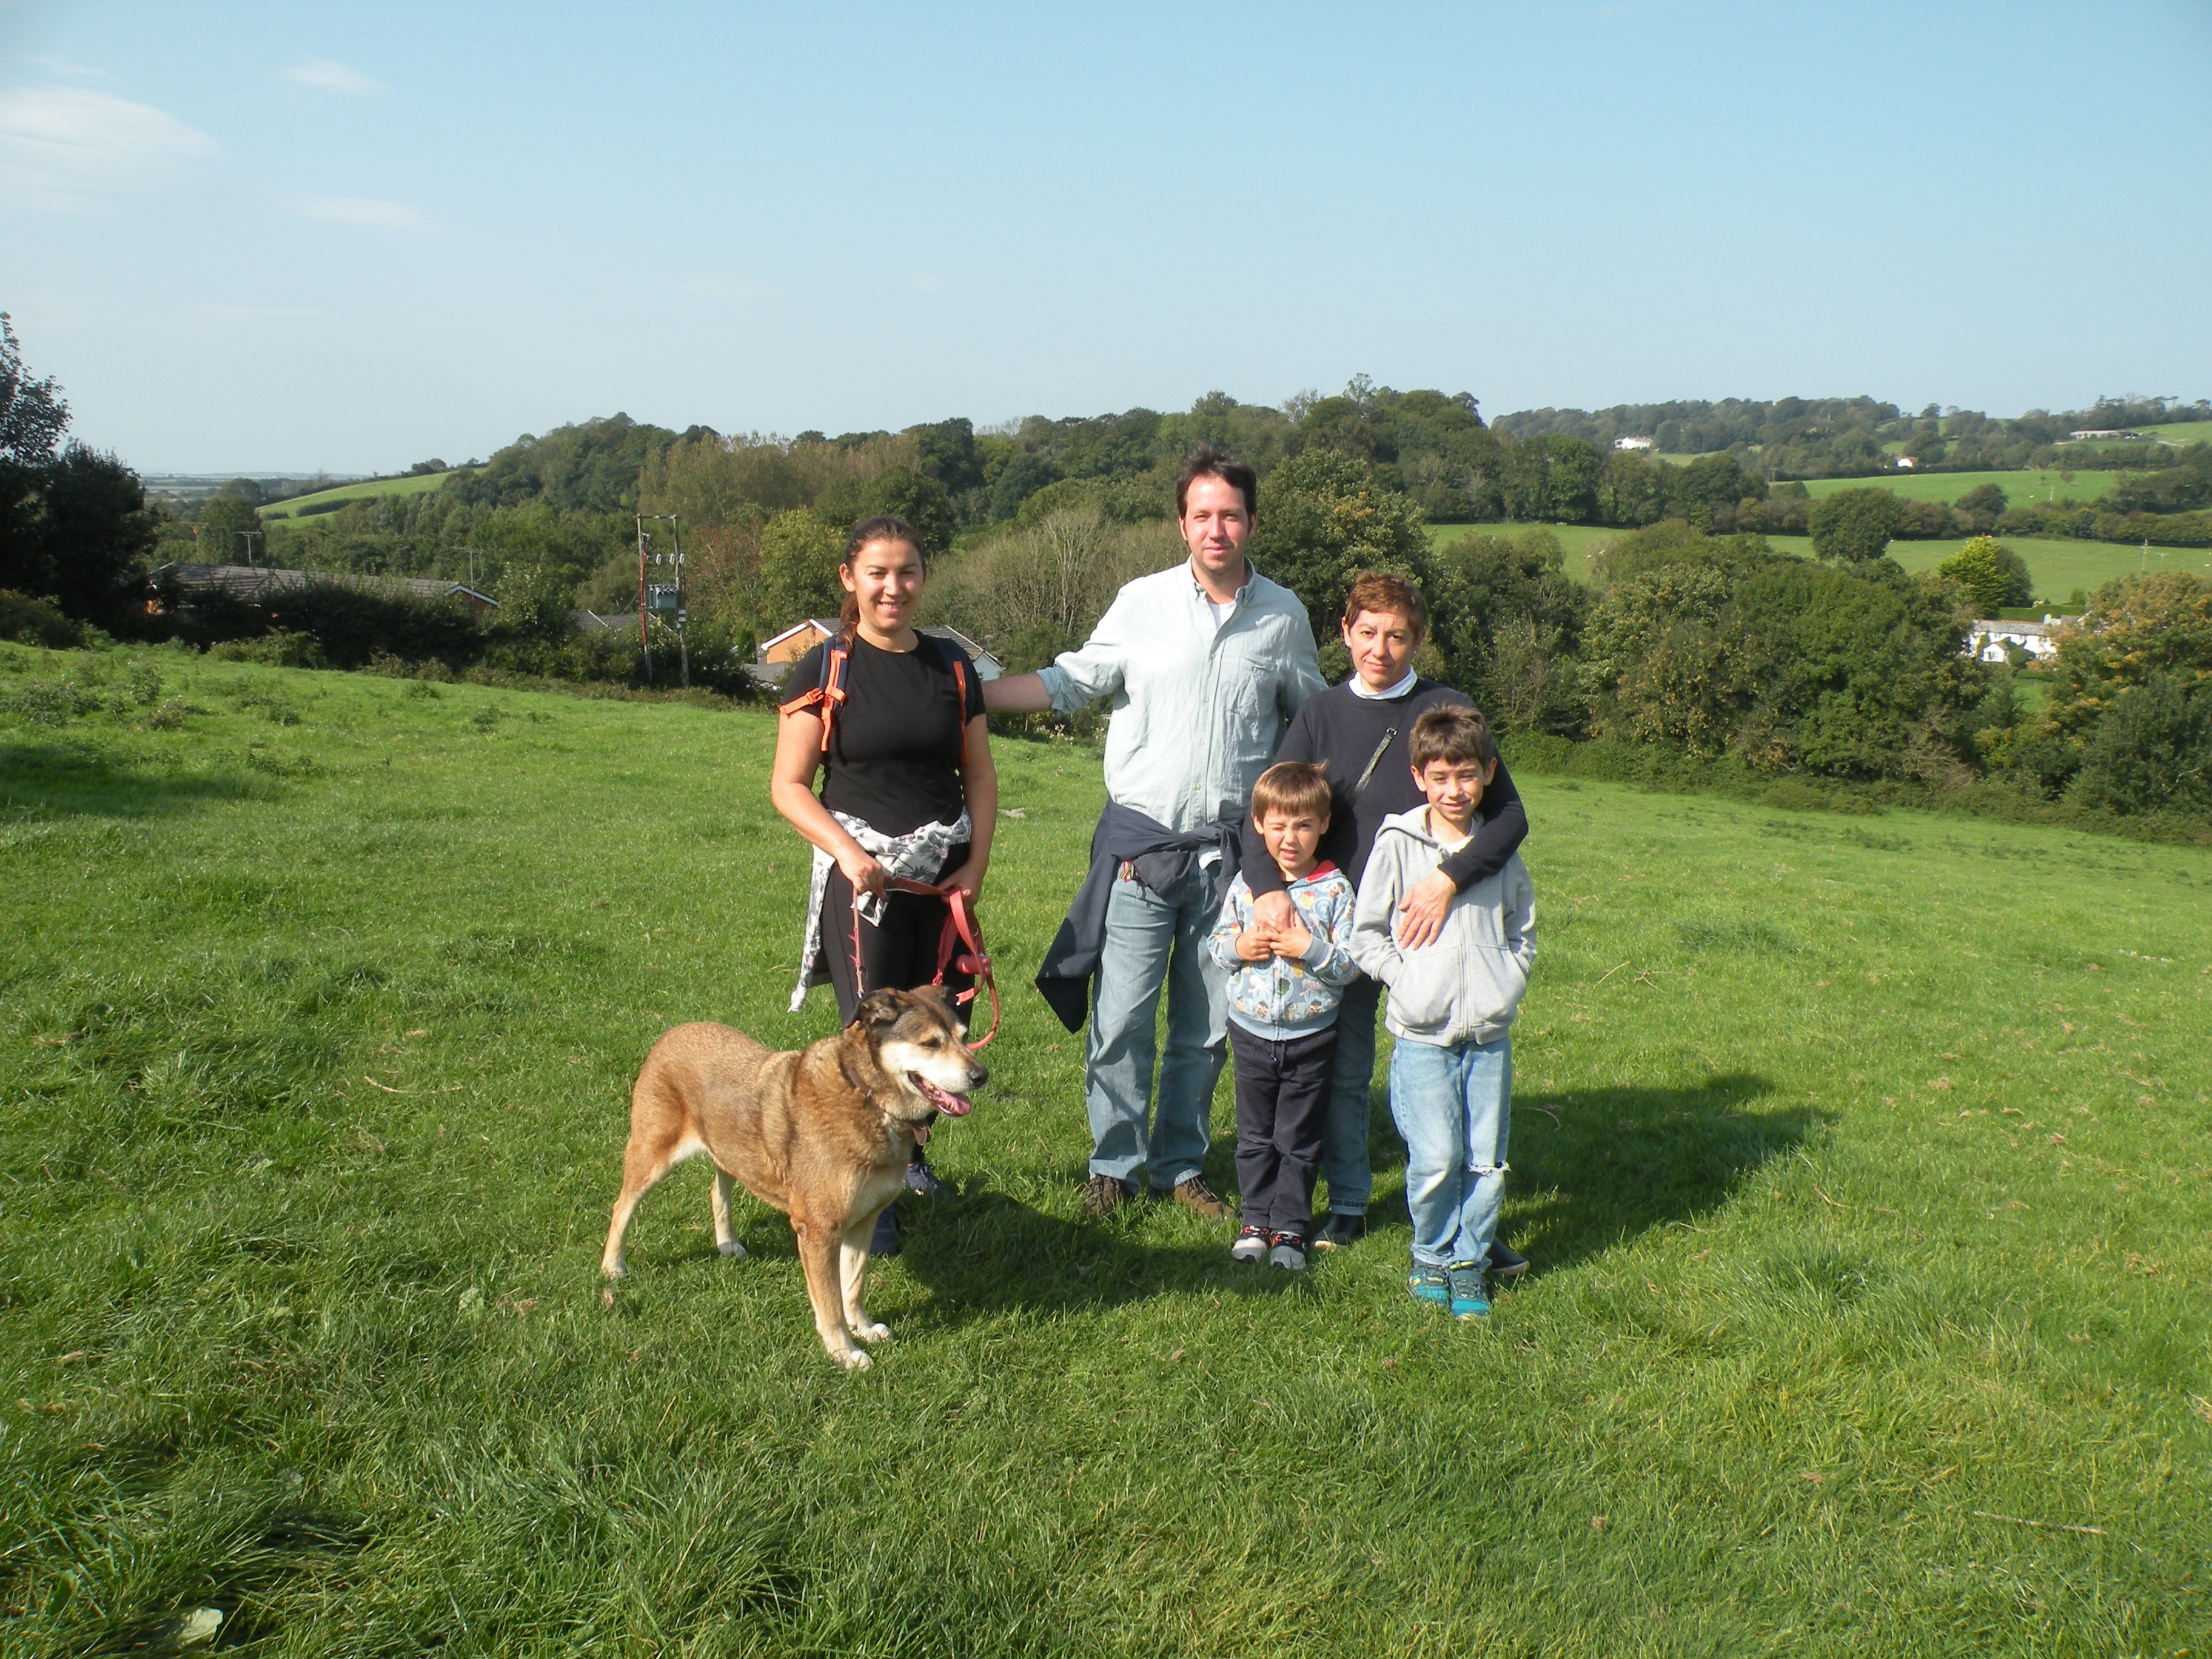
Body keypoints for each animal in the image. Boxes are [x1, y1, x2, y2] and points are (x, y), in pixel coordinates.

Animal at [606, 995, 987, 1371]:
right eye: (931, 1043)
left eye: (965, 1036)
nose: (981, 1076)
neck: (866, 1095)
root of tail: (672, 1032)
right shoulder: (819, 1231)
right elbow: (830, 1301)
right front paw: (844, 1352)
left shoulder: (864, 1221)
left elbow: (854, 1284)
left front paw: (862, 1328)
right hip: (652, 1154)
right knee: (622, 1205)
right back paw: (613, 1267)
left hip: (730, 1148)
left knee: (717, 1190)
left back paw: (728, 1244)